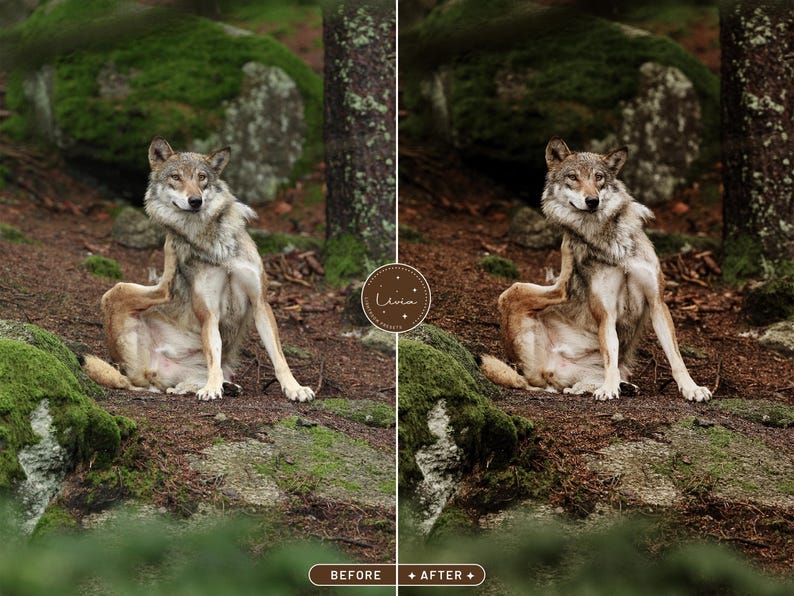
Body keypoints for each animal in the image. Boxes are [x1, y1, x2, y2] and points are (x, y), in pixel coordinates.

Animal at [82, 136, 315, 402]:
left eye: (202, 177)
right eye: (176, 177)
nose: (195, 201)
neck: (214, 244)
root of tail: (140, 372)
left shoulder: (260, 303)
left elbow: (279, 357)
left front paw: (294, 388)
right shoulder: (209, 314)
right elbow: (214, 353)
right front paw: (212, 389)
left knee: (186, 382)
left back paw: (226, 387)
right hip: (116, 293)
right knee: (162, 291)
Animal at [480, 137, 711, 402]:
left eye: (598, 177)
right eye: (573, 177)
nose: (592, 201)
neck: (610, 242)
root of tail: (542, 372)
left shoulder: (657, 303)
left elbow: (675, 357)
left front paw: (692, 388)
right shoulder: (606, 313)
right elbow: (610, 353)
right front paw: (609, 389)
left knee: (580, 383)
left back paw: (624, 386)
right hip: (512, 293)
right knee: (559, 290)